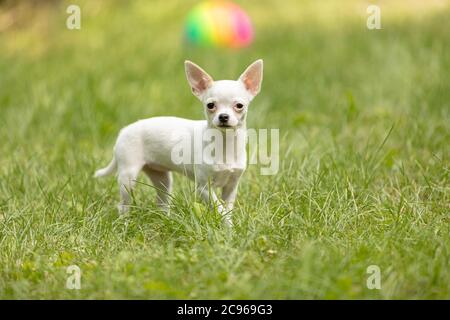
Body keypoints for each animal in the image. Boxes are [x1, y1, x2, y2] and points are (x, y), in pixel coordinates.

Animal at [95, 60, 264, 225]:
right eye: (210, 105)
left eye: (239, 106)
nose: (223, 116)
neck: (225, 144)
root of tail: (124, 130)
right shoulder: (204, 188)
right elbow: (219, 208)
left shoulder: (231, 187)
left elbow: (227, 210)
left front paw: (228, 228)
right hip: (128, 177)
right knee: (123, 204)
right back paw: (125, 223)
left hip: (163, 179)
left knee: (162, 202)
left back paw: (166, 220)